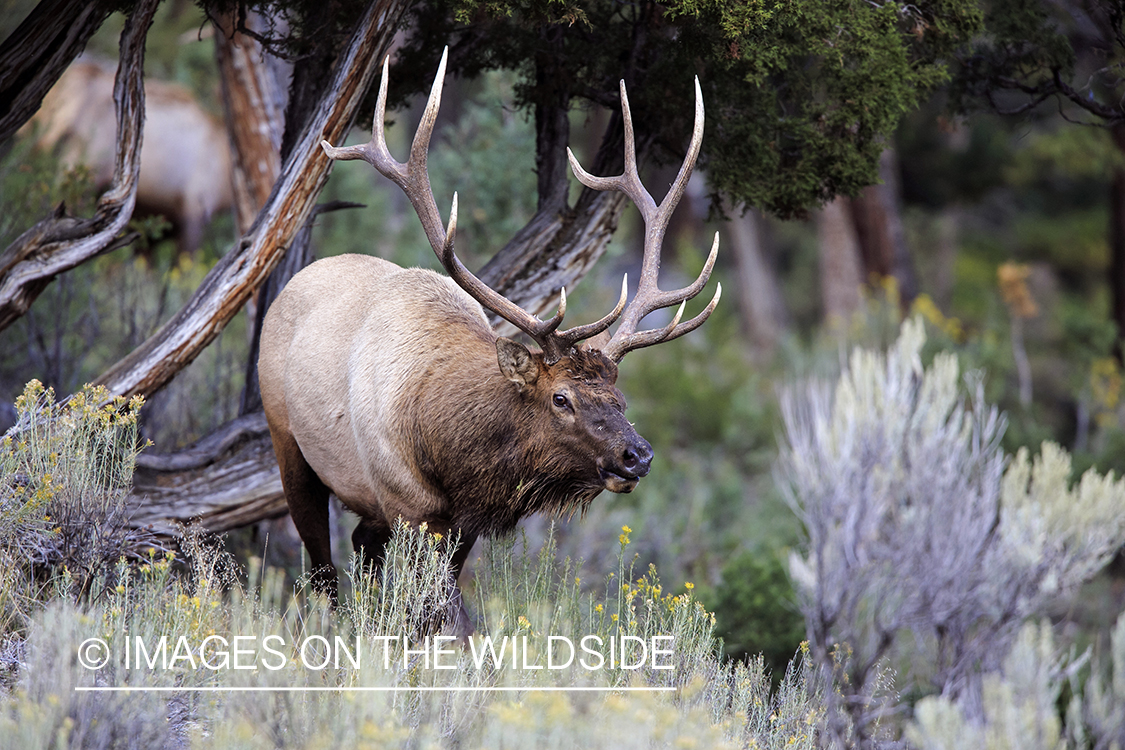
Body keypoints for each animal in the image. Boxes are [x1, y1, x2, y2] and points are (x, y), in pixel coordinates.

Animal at [259, 49, 720, 629]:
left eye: (620, 399)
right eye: (561, 398)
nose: (637, 455)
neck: (449, 454)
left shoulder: (462, 525)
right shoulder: (409, 508)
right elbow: (448, 621)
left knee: (362, 549)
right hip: (290, 445)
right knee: (323, 571)